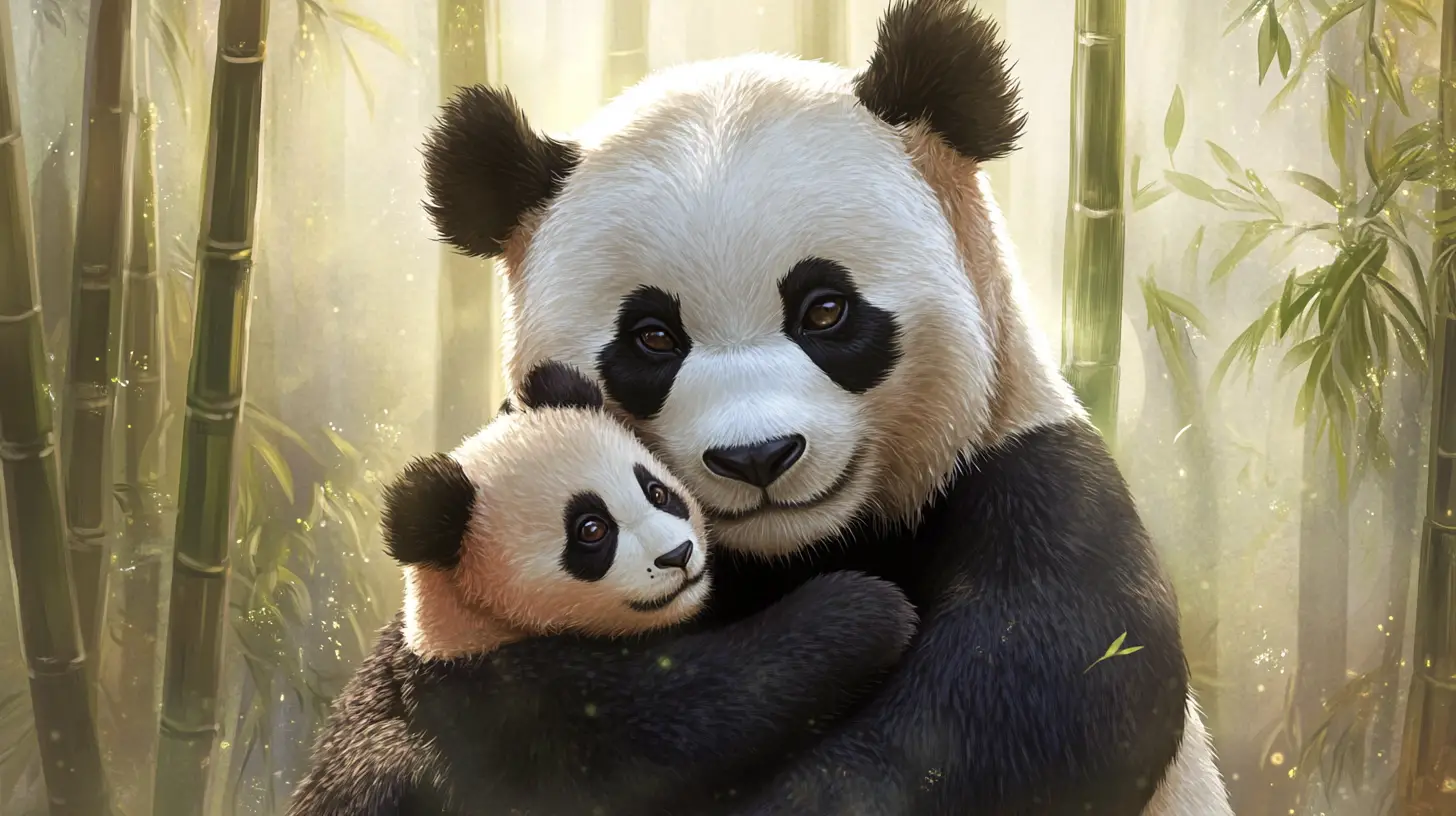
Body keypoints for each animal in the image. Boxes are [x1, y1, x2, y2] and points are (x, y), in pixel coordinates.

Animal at [287, 361, 920, 815]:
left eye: (657, 490)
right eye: (591, 531)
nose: (678, 556)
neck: (465, 620)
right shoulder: (508, 711)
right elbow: (686, 719)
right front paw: (866, 611)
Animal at [420, 0, 1234, 813]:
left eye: (824, 310)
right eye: (653, 338)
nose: (756, 457)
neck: (804, 548)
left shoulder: (1037, 494)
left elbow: (1020, 704)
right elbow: (567, 721)